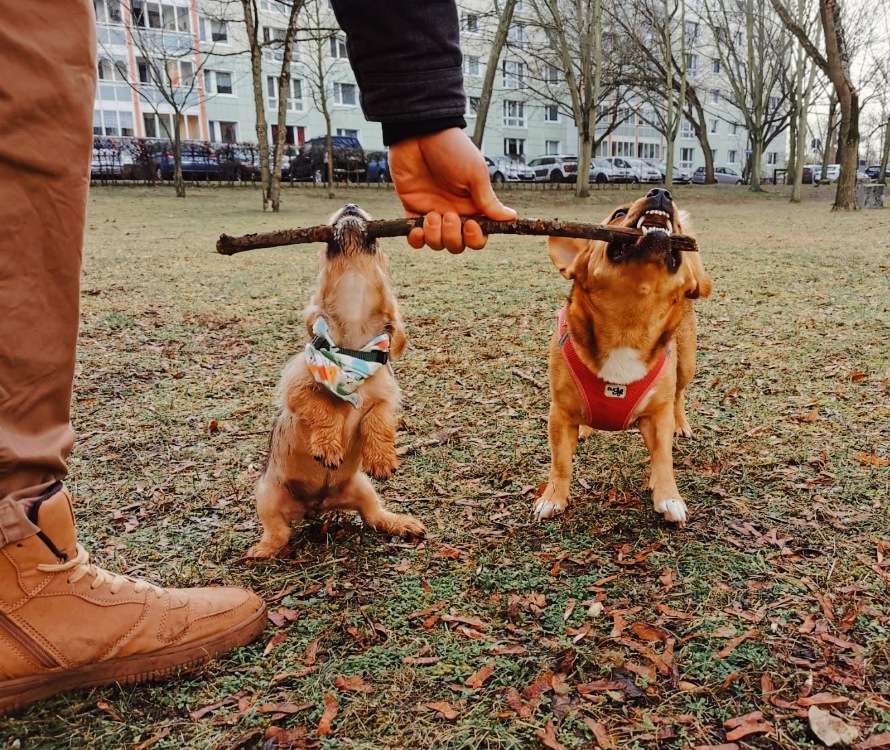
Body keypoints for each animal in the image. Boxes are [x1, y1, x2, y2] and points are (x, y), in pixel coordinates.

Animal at [243, 206, 424, 564]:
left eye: (380, 247)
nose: (351, 206)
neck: (351, 352)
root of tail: (317, 505)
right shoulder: (296, 388)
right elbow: (322, 407)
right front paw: (328, 445)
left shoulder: (385, 397)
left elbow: (379, 419)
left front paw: (382, 457)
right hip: (267, 494)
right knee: (278, 532)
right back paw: (262, 549)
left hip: (362, 488)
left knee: (374, 515)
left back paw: (401, 523)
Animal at [532, 189, 712, 528]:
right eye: (618, 213)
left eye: (679, 227)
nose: (661, 192)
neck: (628, 324)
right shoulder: (559, 415)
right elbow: (560, 462)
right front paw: (553, 497)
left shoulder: (657, 417)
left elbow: (663, 459)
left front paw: (669, 496)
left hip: (686, 365)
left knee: (679, 394)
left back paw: (681, 424)